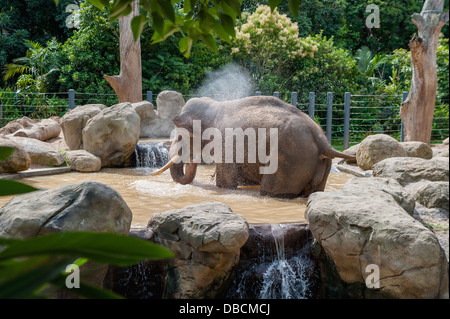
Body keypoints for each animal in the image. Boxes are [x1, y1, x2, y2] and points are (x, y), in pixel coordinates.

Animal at [152, 96, 356, 199]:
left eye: (180, 136)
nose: (191, 160)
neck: (215, 106)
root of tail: (322, 141)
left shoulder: (227, 145)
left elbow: (226, 184)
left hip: (290, 163)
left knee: (271, 191)